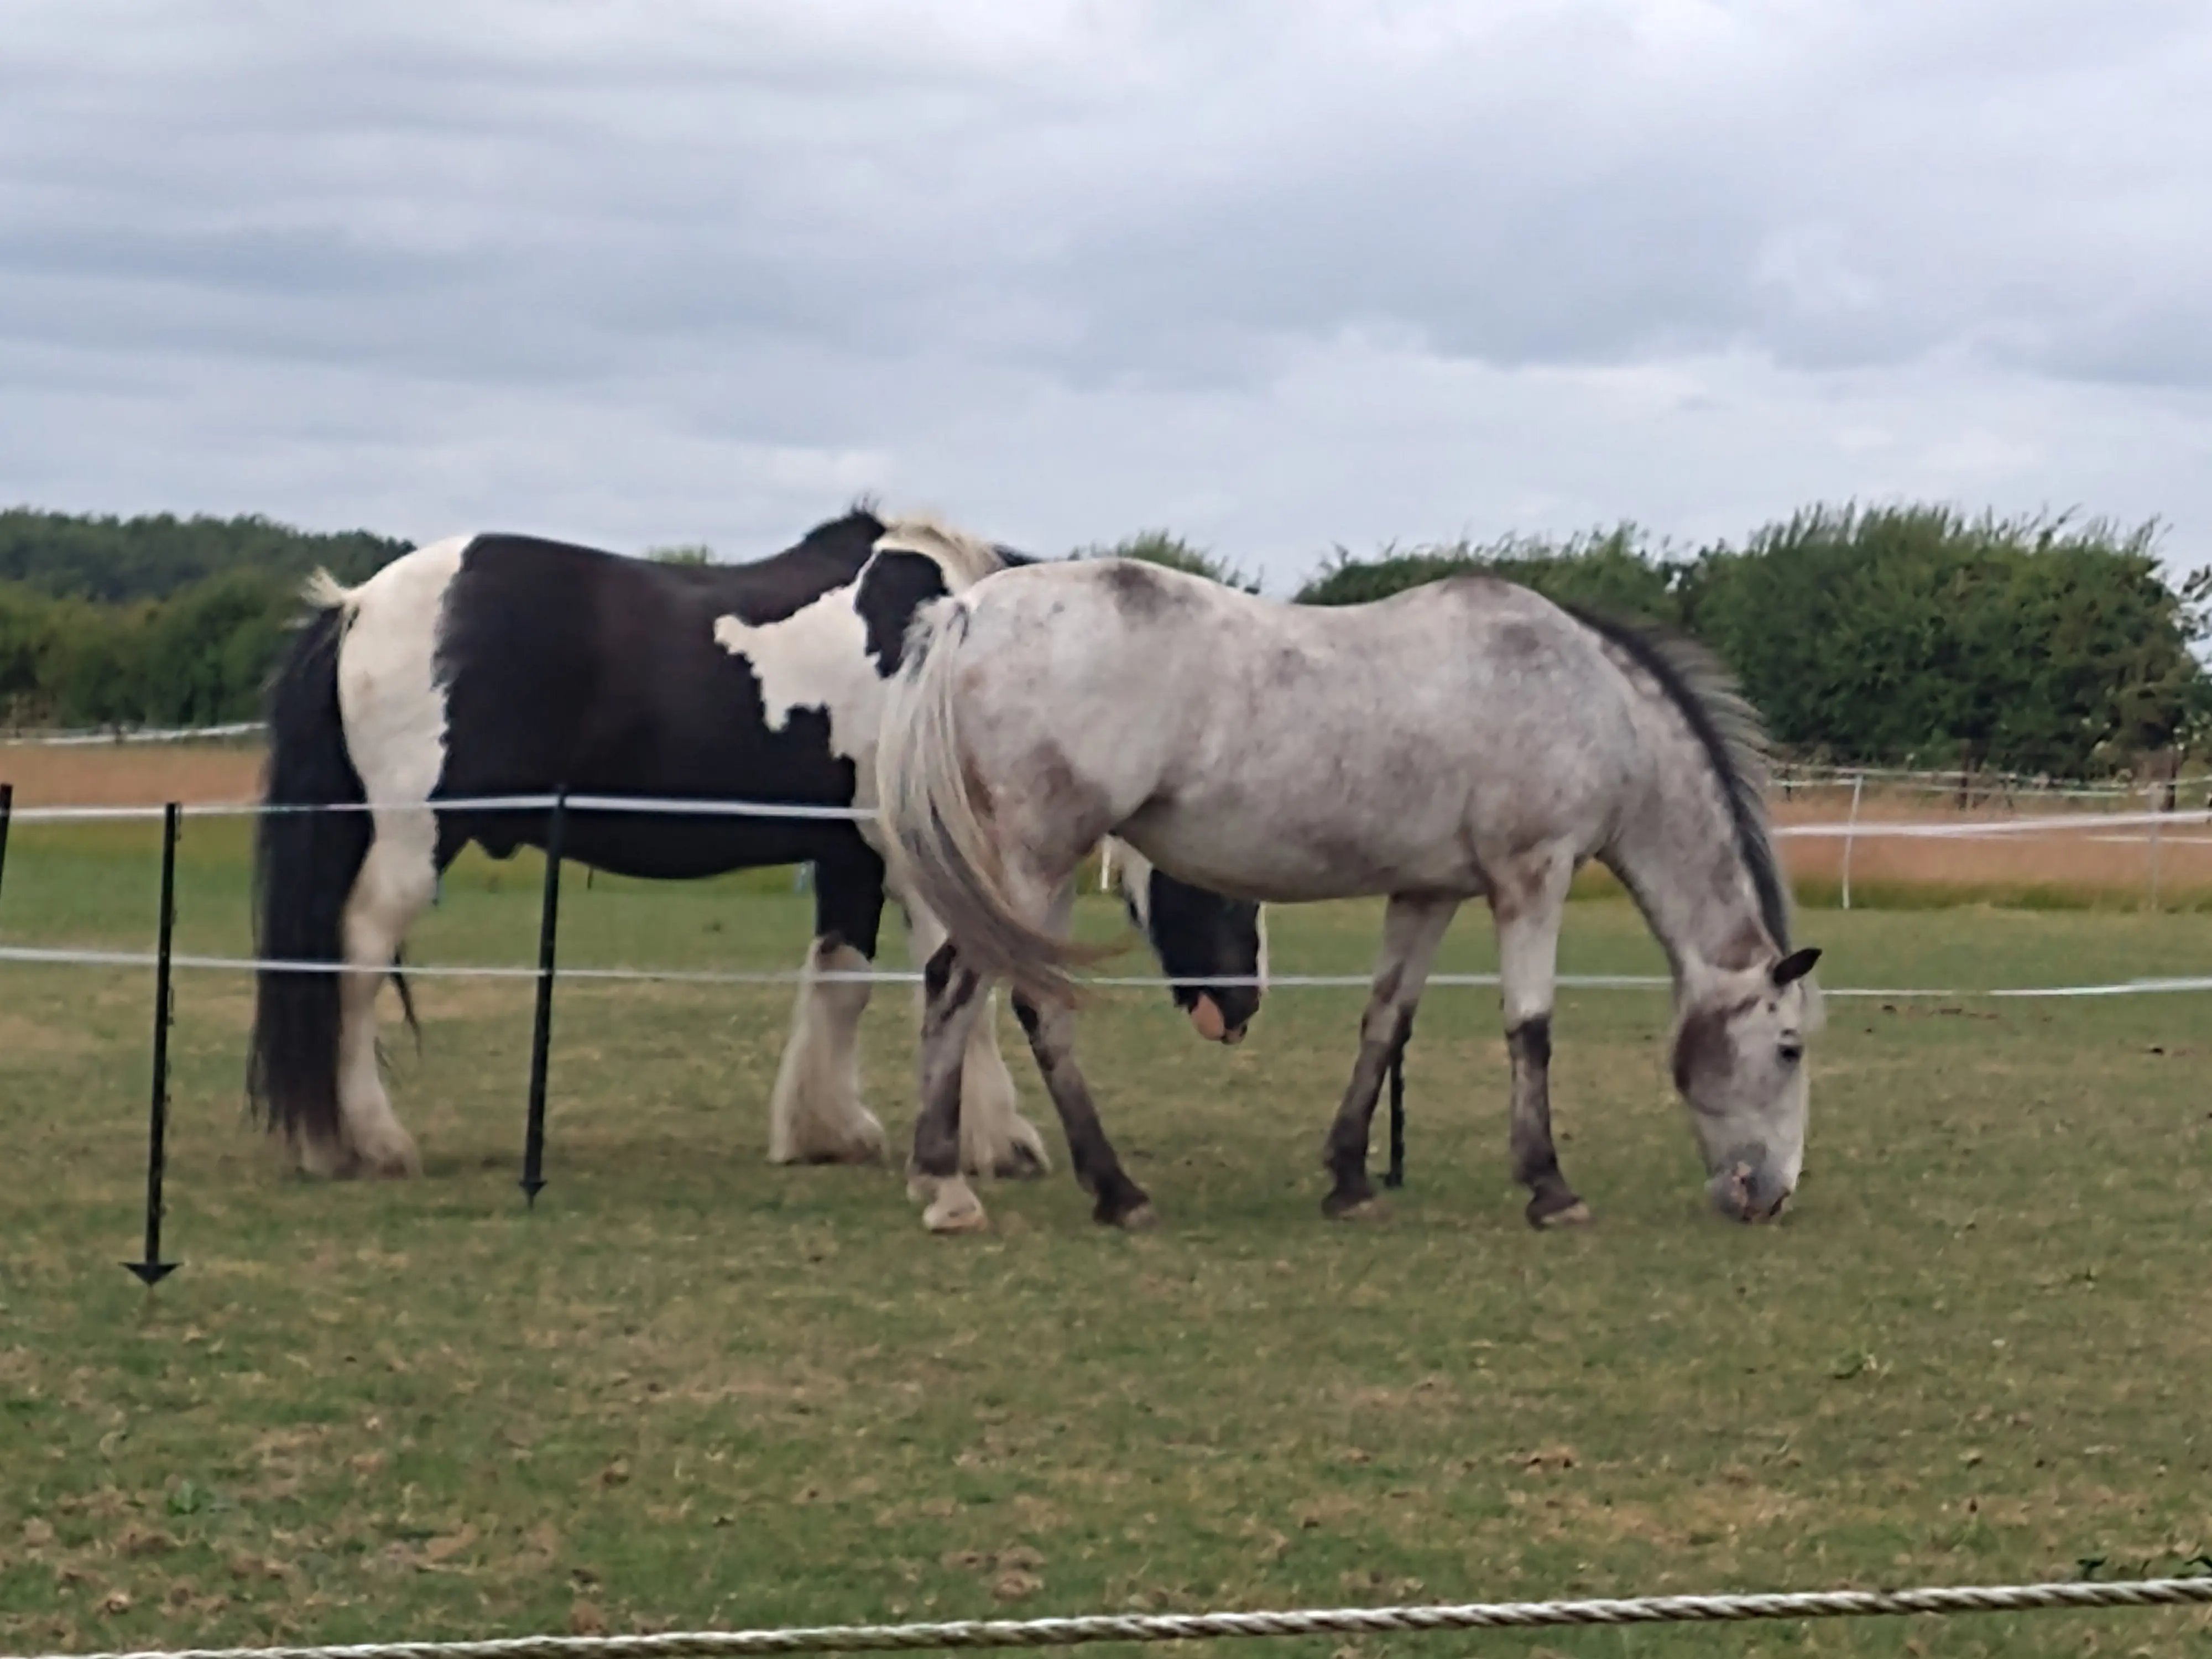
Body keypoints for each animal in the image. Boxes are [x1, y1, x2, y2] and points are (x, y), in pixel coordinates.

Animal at [246, 509, 1265, 1181]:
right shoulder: (919, 860)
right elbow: (956, 983)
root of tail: (357, 605)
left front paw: (827, 1130)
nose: (1241, 1009)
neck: (956, 656)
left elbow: (844, 983)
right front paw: (996, 1140)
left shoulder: (852, 859)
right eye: (1223, 875)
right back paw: (371, 1141)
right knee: (353, 964)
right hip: (415, 841)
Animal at [874, 556, 1822, 1235]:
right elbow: (1531, 1030)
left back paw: (976, 1176)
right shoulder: (1532, 876)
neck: (1591, 695)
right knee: (999, 999)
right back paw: (1013, 1189)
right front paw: (1549, 1187)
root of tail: (967, 614)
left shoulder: (1428, 893)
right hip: (1033, 866)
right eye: (1788, 1049)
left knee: (976, 991)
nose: (1771, 1194)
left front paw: (1351, 1178)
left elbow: (1386, 1021)